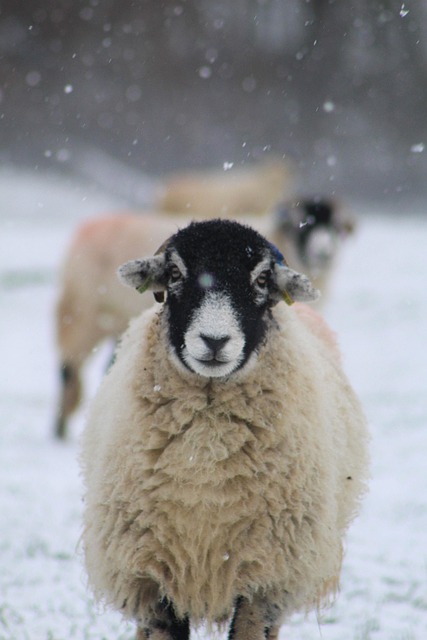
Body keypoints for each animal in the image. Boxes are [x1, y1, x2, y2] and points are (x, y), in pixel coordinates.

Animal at [80, 218, 369, 640]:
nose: (214, 340)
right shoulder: (151, 574)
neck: (208, 452)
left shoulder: (266, 577)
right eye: (174, 274)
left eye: (263, 278)